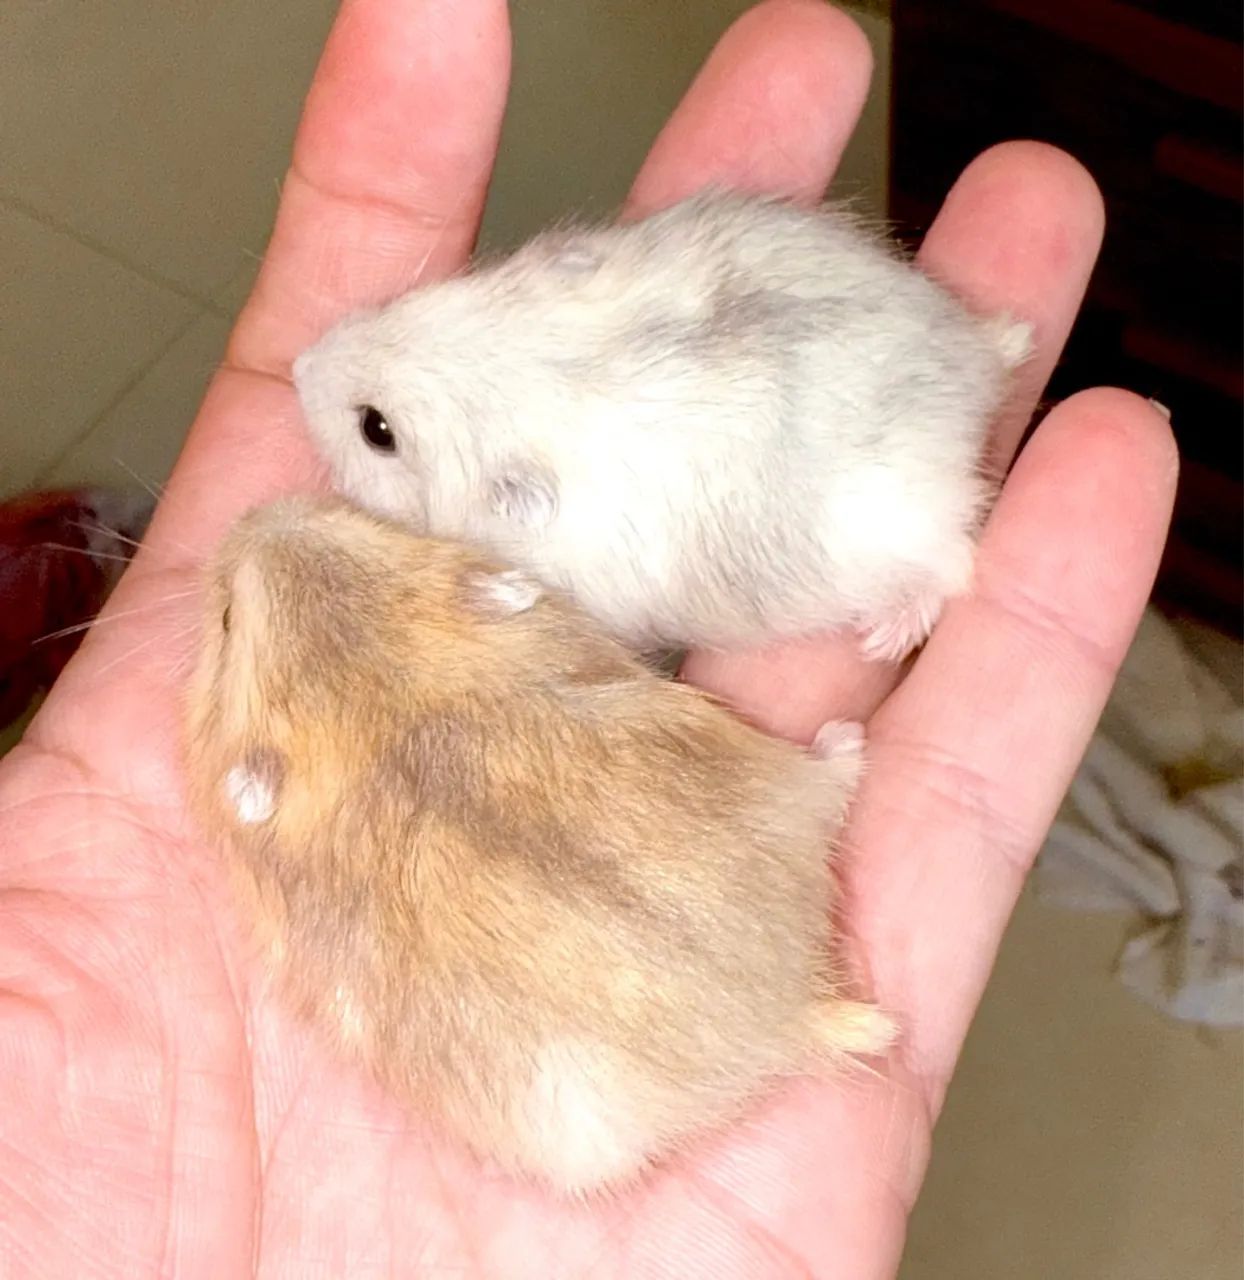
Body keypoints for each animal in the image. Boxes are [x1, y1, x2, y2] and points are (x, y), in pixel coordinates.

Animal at [292, 189, 1032, 660]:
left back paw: (883, 638)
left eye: (377, 431)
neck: (528, 373)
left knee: (954, 566)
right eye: (404, 305)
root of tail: (976, 359)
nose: (298, 369)